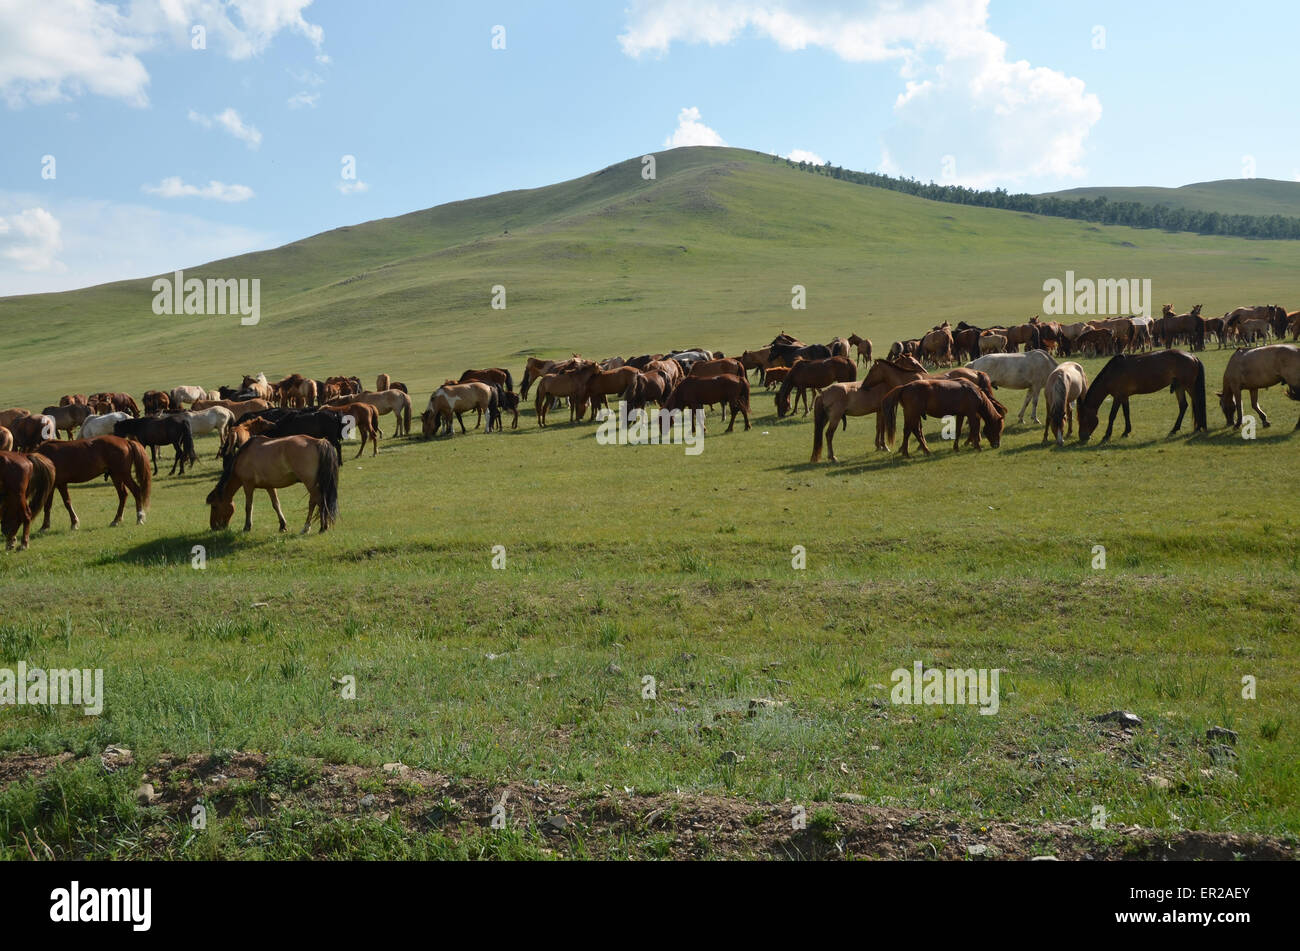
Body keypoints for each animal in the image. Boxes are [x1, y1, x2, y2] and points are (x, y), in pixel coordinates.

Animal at [207, 435, 338, 533]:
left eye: (214, 506)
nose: (214, 527)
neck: (243, 457)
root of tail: (317, 441)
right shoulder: (269, 486)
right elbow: (276, 505)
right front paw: (282, 525)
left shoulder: (248, 485)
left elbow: (248, 506)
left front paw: (247, 526)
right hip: (314, 484)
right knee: (315, 502)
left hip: (310, 483)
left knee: (318, 502)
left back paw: (316, 527)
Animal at [1077, 350, 1207, 442]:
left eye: (1083, 418)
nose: (1082, 437)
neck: (1113, 372)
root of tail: (1192, 356)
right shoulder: (1124, 396)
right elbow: (1126, 413)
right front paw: (1126, 432)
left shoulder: (1118, 397)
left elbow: (1112, 415)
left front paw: (1107, 435)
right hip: (1179, 386)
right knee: (1183, 406)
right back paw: (1175, 429)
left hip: (1189, 386)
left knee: (1197, 402)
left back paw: (1198, 427)